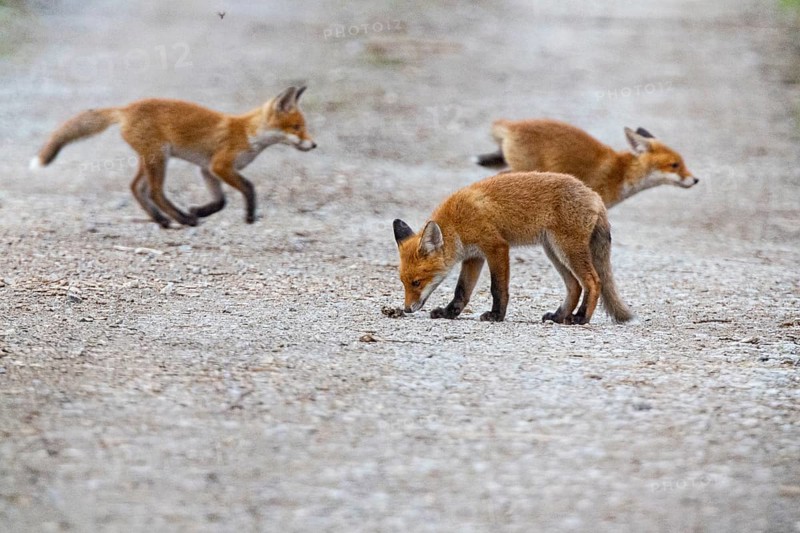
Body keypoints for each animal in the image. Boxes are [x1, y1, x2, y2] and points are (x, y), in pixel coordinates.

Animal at [30, 86, 316, 227]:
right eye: (296, 127)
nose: (313, 145)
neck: (248, 133)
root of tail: (125, 108)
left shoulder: (207, 170)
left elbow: (220, 201)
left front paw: (200, 210)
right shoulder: (220, 165)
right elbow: (249, 187)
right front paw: (249, 215)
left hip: (149, 159)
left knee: (136, 188)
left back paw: (163, 220)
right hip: (159, 158)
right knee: (155, 192)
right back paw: (182, 219)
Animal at [393, 171, 633, 325]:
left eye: (416, 282)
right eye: (403, 283)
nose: (406, 309)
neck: (457, 223)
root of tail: (594, 194)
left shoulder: (496, 247)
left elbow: (497, 288)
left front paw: (496, 315)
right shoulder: (473, 257)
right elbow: (461, 290)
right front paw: (449, 313)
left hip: (567, 250)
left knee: (593, 282)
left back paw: (581, 317)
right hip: (553, 251)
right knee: (575, 286)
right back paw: (559, 316)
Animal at [473, 119, 697, 207]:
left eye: (683, 162)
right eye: (675, 165)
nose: (695, 180)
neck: (620, 173)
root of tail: (511, 124)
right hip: (525, 171)